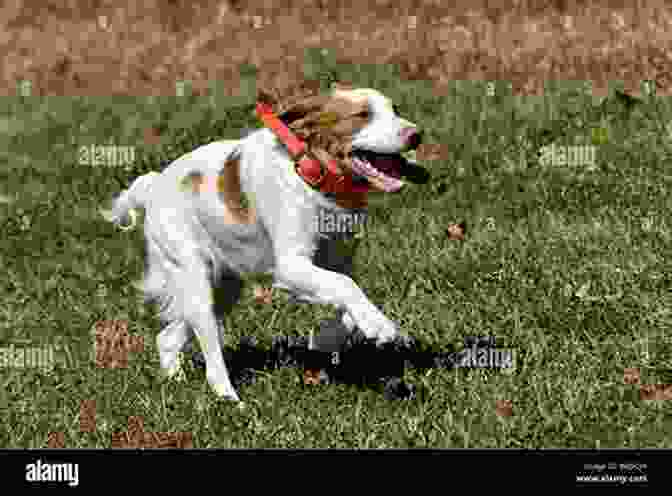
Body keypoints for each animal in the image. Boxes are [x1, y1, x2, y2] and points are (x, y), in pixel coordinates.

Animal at [102, 84, 428, 404]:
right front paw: (379, 325)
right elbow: (345, 286)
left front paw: (326, 339)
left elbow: (346, 300)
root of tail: (153, 185)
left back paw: (175, 383)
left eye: (395, 109)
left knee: (167, 338)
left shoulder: (339, 261)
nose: (416, 135)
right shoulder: (290, 265)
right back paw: (229, 399)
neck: (316, 179)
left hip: (223, 287)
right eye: (363, 115)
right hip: (196, 278)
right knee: (210, 351)